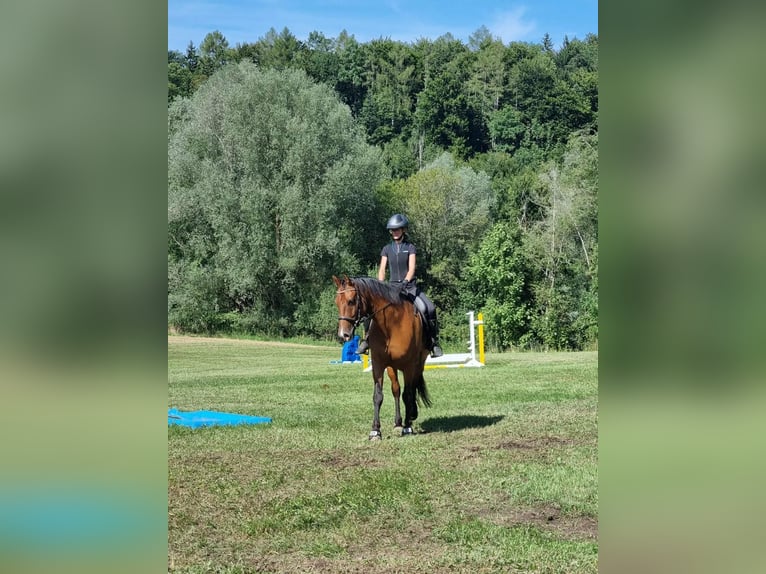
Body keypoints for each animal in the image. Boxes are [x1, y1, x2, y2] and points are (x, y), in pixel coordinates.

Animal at [333, 275, 431, 440]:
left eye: (351, 301)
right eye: (336, 302)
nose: (343, 335)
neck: (391, 325)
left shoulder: (409, 365)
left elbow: (408, 394)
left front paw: (408, 427)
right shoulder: (379, 364)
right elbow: (378, 396)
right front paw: (375, 431)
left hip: (418, 364)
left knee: (411, 389)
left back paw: (411, 415)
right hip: (392, 367)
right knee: (396, 390)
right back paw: (398, 423)